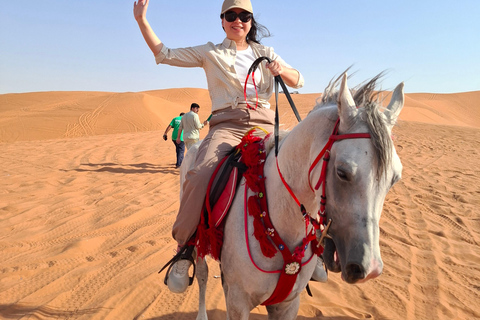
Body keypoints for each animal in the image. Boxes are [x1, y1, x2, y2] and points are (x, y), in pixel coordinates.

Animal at [182, 74, 404, 318]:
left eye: (395, 179)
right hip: (200, 232)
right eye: (342, 172)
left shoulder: (288, 303)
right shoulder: (238, 302)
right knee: (201, 272)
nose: (370, 268)